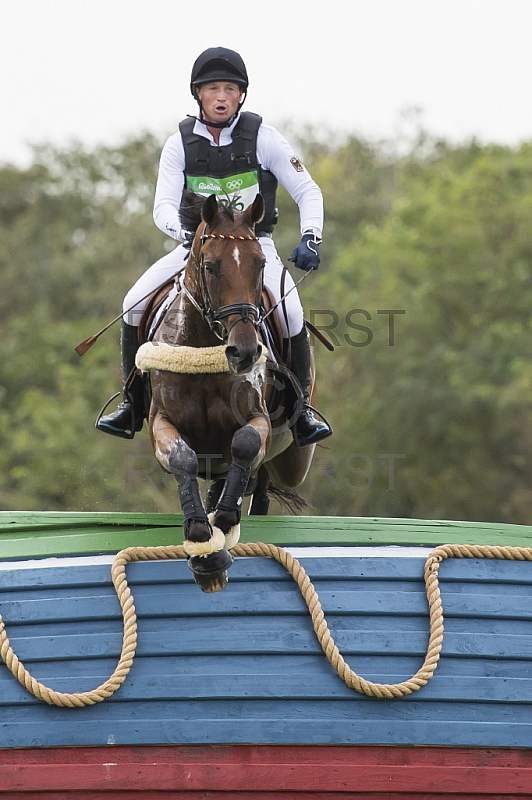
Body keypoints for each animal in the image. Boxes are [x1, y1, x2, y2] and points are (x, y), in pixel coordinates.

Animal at [138, 192, 320, 592]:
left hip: (292, 462)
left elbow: (246, 444)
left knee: (260, 482)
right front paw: (202, 544)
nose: (246, 351)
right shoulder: (161, 423)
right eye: (210, 266)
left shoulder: (257, 420)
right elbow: (182, 459)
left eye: (260, 264)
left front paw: (222, 520)